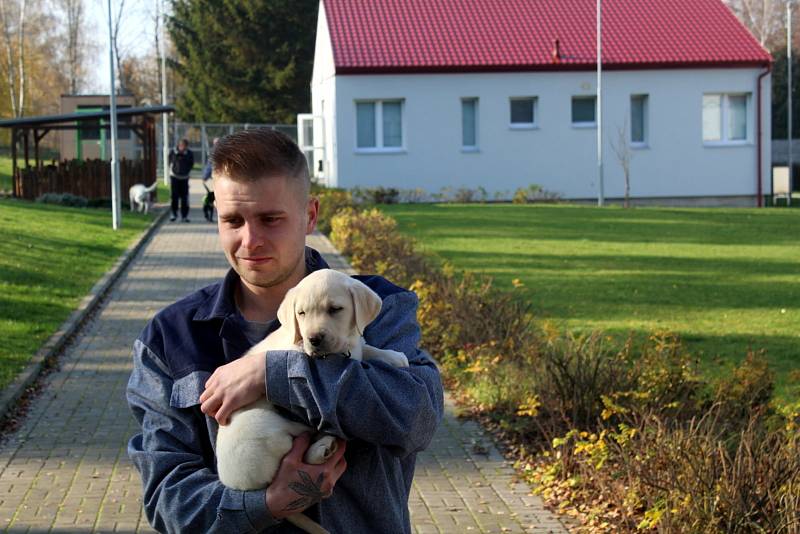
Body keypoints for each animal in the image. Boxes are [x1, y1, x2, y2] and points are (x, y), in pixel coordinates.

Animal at [216, 270, 410, 534]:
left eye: (335, 309)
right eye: (301, 313)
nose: (314, 339)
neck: (339, 351)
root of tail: (252, 487)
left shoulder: (354, 345)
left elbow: (366, 349)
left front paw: (394, 357)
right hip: (266, 425)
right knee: (299, 447)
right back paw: (322, 446)